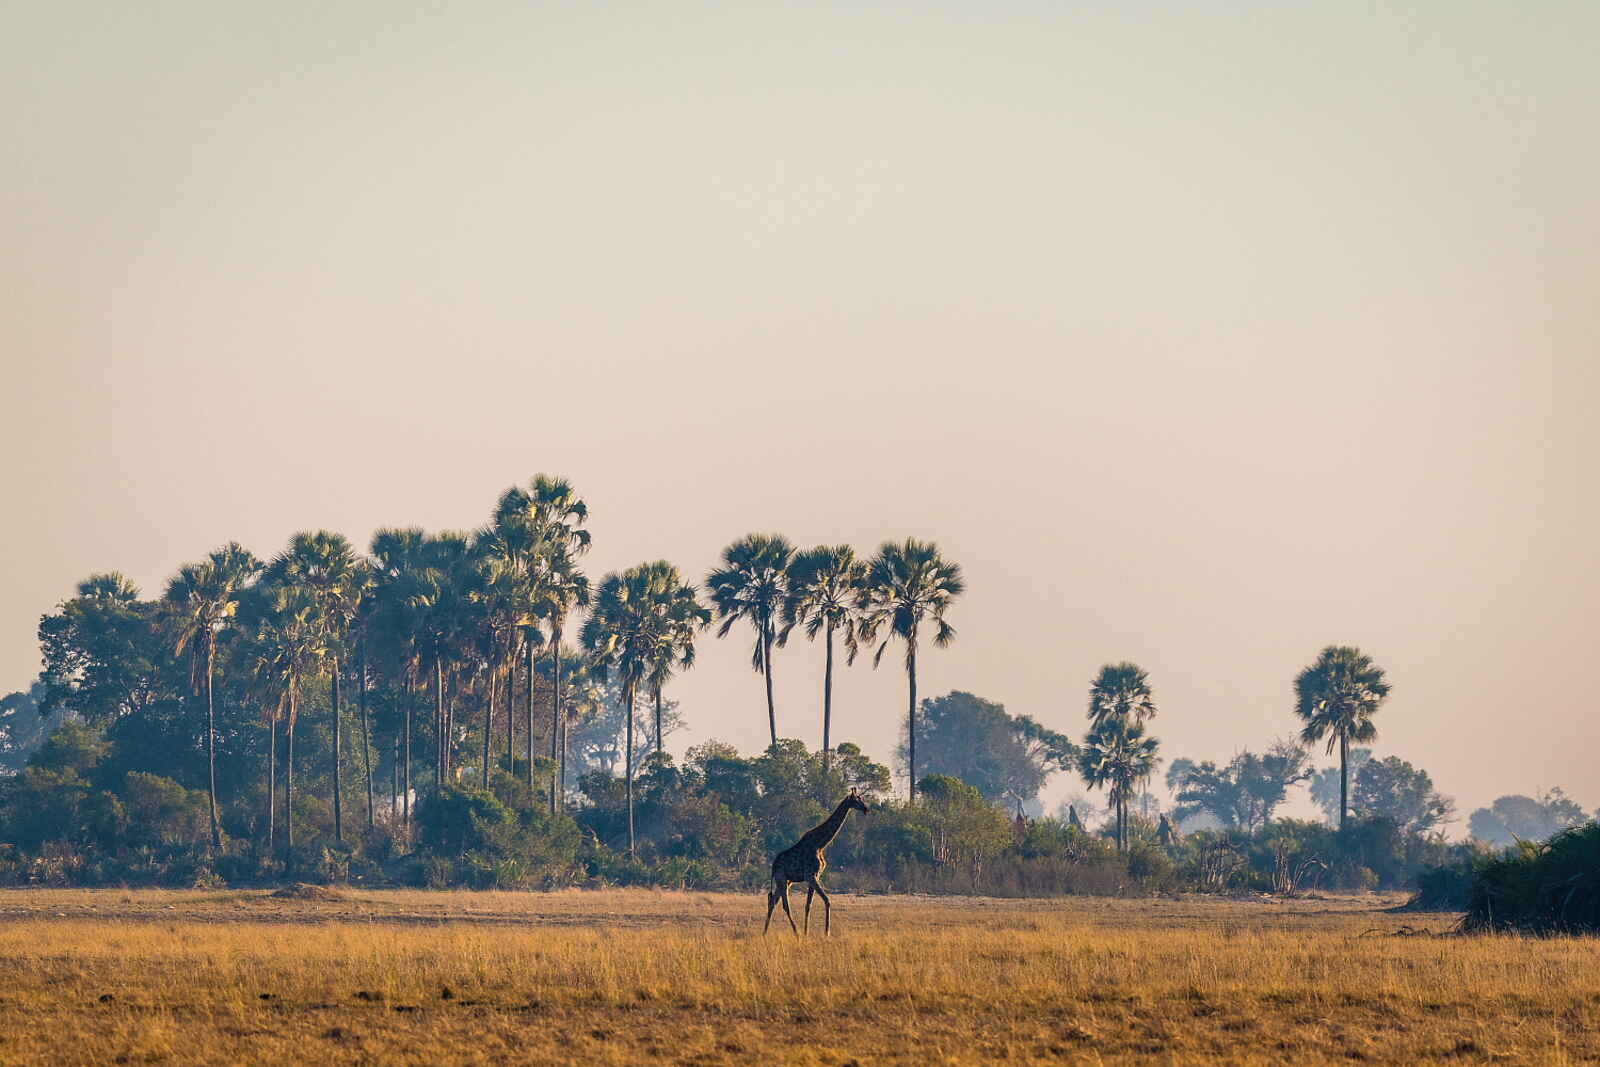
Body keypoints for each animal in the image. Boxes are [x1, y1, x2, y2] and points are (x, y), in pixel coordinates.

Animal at [763, 791, 869, 936]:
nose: (866, 809)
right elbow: (827, 900)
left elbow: (808, 905)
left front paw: (807, 932)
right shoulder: (810, 876)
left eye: (861, 798)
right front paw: (826, 932)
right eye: (857, 799)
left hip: (786, 881)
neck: (820, 844)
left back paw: (765, 933)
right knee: (785, 905)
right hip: (782, 879)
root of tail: (773, 866)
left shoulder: (815, 876)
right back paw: (796, 933)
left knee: (773, 902)